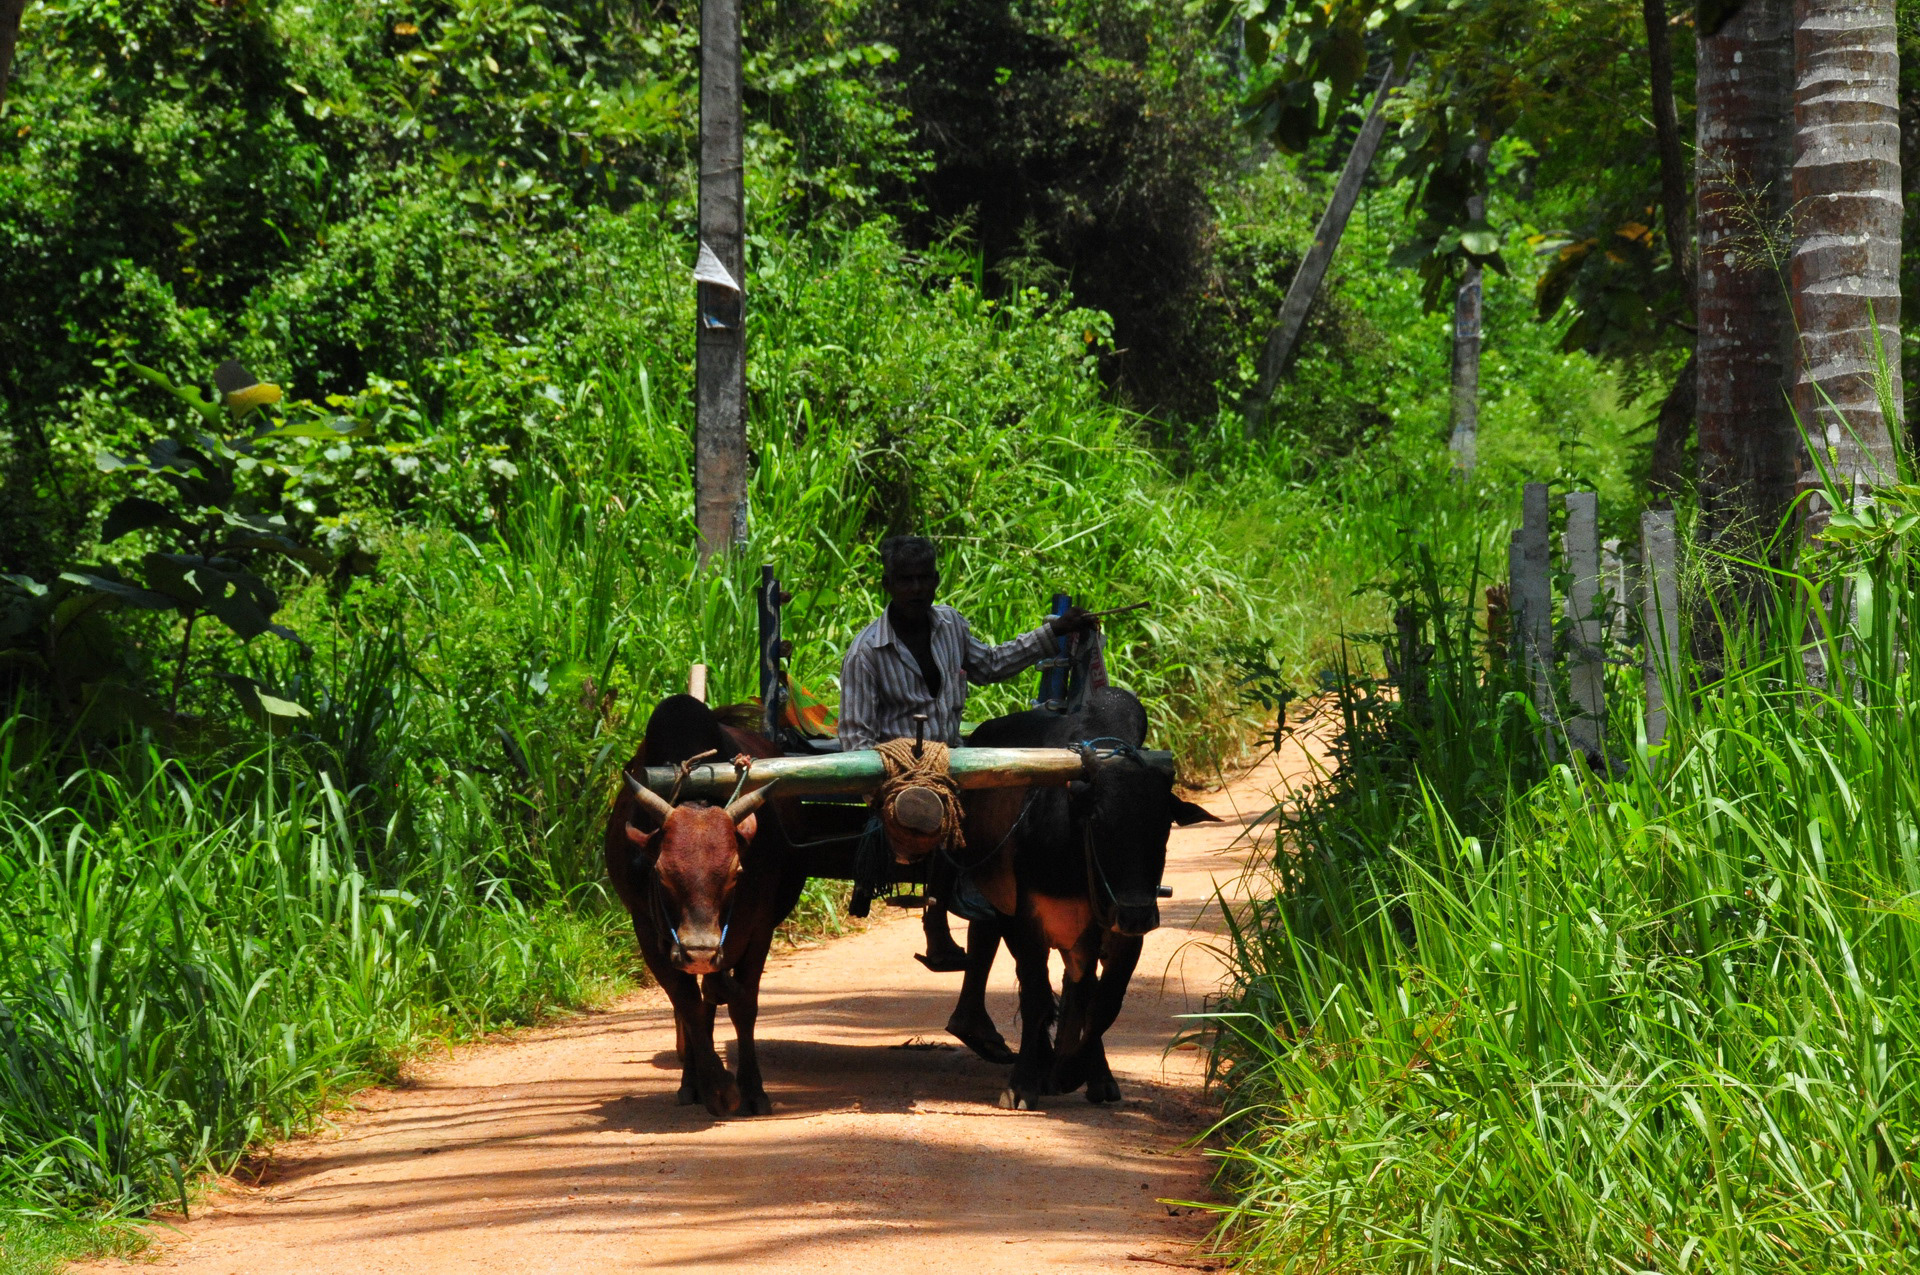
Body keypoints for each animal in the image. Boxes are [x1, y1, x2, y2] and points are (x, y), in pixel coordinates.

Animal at [604, 694, 807, 1117]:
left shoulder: (758, 930)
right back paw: (692, 1084)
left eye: (735, 871)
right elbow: (689, 1006)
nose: (699, 950)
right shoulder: (649, 933)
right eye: (661, 873)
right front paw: (717, 1088)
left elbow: (744, 1005)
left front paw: (752, 1089)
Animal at [949, 686, 1218, 1110]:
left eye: (1163, 828)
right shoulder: (1026, 921)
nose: (1137, 915)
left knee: (1079, 989)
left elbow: (1103, 1003)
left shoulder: (1123, 935)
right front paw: (1025, 1082)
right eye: (1099, 821)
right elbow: (1037, 998)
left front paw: (1075, 1072)